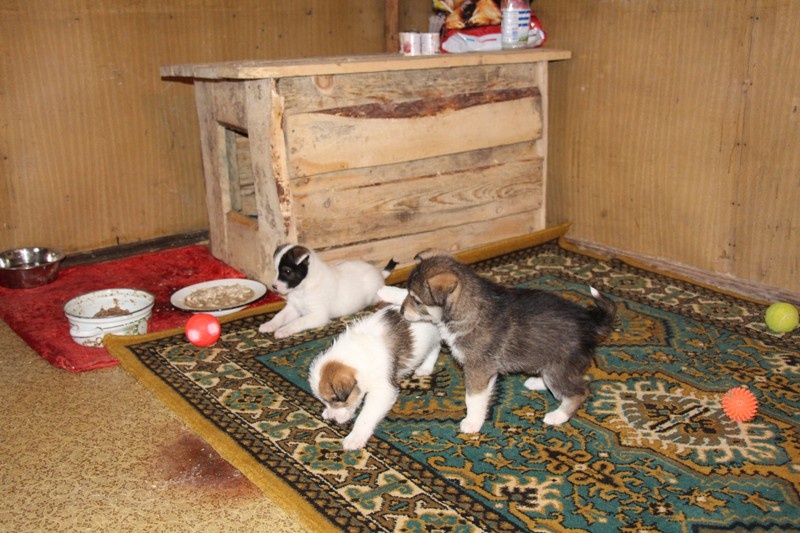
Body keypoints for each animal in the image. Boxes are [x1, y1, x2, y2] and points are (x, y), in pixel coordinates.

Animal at [259, 244, 396, 338]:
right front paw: (269, 324)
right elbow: (279, 316)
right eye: (276, 270)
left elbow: (298, 321)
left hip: (373, 296)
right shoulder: (293, 308)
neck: (302, 289)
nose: (274, 287)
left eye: (287, 271)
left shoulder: (318, 315)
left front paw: (284, 330)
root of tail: (379, 274)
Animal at [308, 303, 441, 450]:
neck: (361, 354)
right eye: (326, 401)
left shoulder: (382, 390)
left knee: (436, 348)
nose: (333, 419)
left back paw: (425, 368)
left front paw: (355, 437)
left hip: (434, 338)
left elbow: (366, 416)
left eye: (335, 399)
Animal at [400, 250, 616, 433]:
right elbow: (482, 395)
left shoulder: (477, 369)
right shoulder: (486, 370)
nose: (401, 312)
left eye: (416, 300)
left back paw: (558, 416)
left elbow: (472, 398)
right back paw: (537, 382)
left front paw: (471, 423)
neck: (466, 310)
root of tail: (589, 323)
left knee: (579, 391)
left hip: (559, 368)